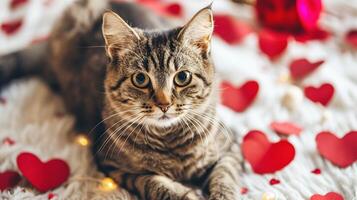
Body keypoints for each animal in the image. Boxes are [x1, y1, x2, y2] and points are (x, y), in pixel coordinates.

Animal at [0, 0, 242, 199]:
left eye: (182, 77)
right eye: (140, 79)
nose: (164, 104)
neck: (170, 142)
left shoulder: (231, 147)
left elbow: (224, 178)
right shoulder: (115, 166)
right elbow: (155, 183)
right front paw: (186, 193)